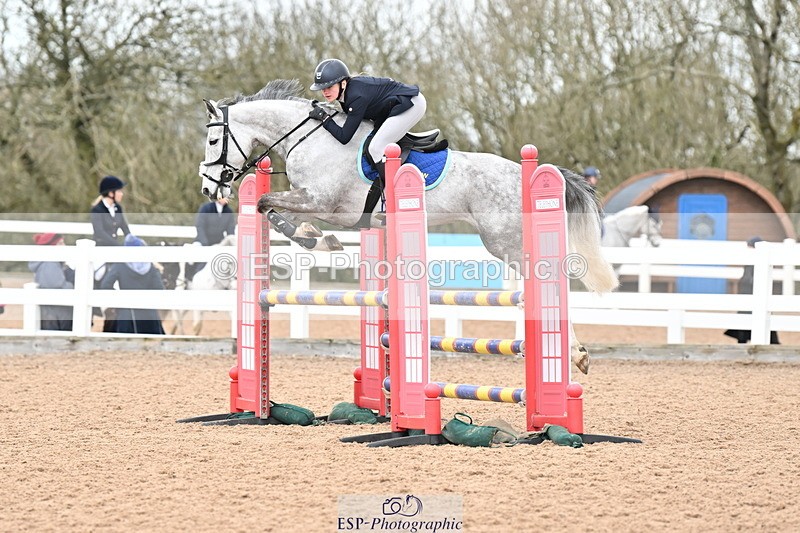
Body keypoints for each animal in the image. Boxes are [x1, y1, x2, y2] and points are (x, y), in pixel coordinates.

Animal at [198, 79, 618, 373]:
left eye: (214, 139)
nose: (209, 188)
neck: (310, 138)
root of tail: (526, 173)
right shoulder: (311, 202)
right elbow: (275, 215)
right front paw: (317, 239)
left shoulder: (322, 201)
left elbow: (265, 204)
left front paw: (320, 241)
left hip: (505, 241)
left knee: (547, 281)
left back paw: (573, 355)